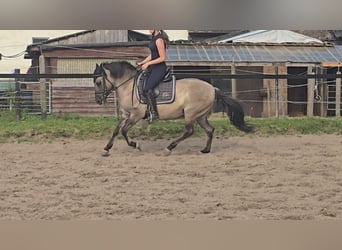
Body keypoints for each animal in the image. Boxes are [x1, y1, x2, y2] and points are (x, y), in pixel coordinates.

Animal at [92, 60, 252, 156]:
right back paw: (205, 150)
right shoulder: (126, 115)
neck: (128, 85)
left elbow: (124, 131)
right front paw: (106, 149)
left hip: (190, 114)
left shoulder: (136, 115)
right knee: (209, 130)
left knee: (189, 131)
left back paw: (169, 148)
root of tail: (212, 88)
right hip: (200, 116)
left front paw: (136, 145)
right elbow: (116, 130)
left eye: (99, 82)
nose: (98, 100)